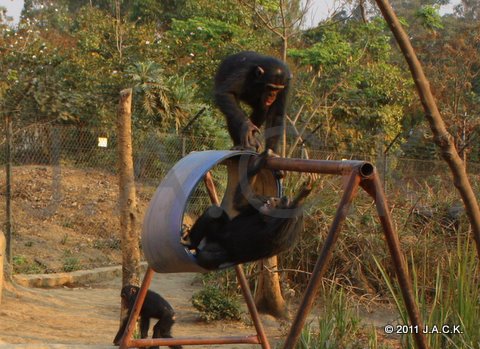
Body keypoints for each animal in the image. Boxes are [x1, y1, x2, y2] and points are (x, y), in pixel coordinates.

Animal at [184, 150, 312, 270]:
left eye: (279, 201)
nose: (274, 199)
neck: (268, 219)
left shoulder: (285, 231)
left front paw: (303, 194)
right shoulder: (259, 205)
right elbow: (240, 204)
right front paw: (261, 160)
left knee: (209, 256)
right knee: (214, 213)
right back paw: (190, 242)